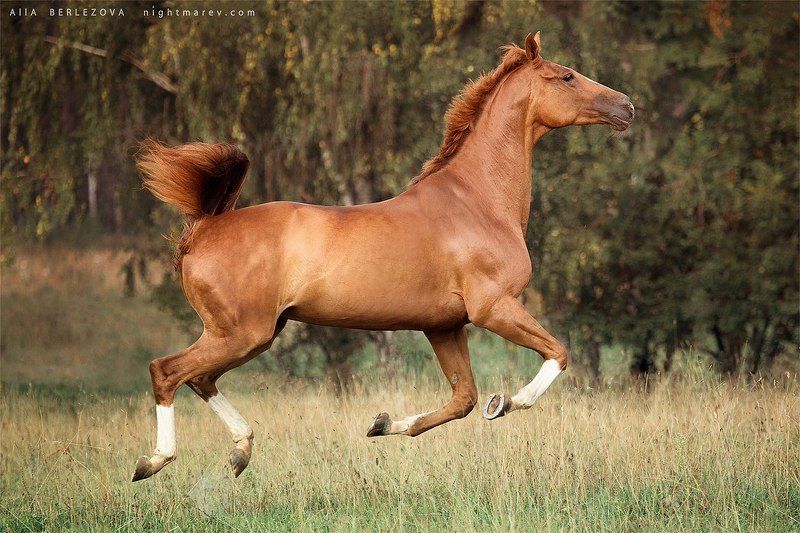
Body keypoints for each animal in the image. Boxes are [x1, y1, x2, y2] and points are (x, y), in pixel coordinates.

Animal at [132, 32, 634, 481]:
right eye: (566, 76)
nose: (627, 106)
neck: (478, 202)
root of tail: (204, 229)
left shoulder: (444, 326)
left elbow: (463, 400)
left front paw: (383, 423)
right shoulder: (493, 308)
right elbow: (557, 353)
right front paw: (507, 403)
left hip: (250, 334)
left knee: (199, 379)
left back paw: (240, 451)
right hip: (241, 334)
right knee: (167, 371)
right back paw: (154, 461)